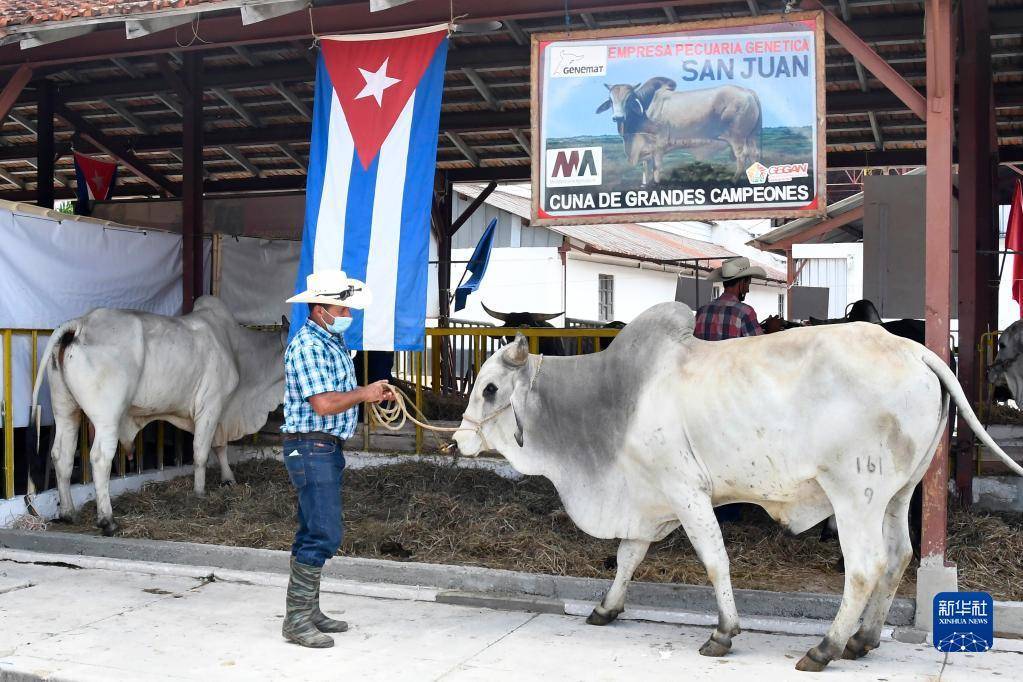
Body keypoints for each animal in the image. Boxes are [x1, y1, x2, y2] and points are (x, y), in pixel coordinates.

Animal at [30, 296, 286, 535]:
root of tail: (81, 323)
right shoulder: (211, 406)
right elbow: (202, 452)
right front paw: (199, 493)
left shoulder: (219, 413)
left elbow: (219, 446)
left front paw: (228, 479)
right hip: (107, 417)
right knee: (100, 458)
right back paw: (107, 521)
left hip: (65, 410)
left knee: (61, 455)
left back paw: (68, 513)